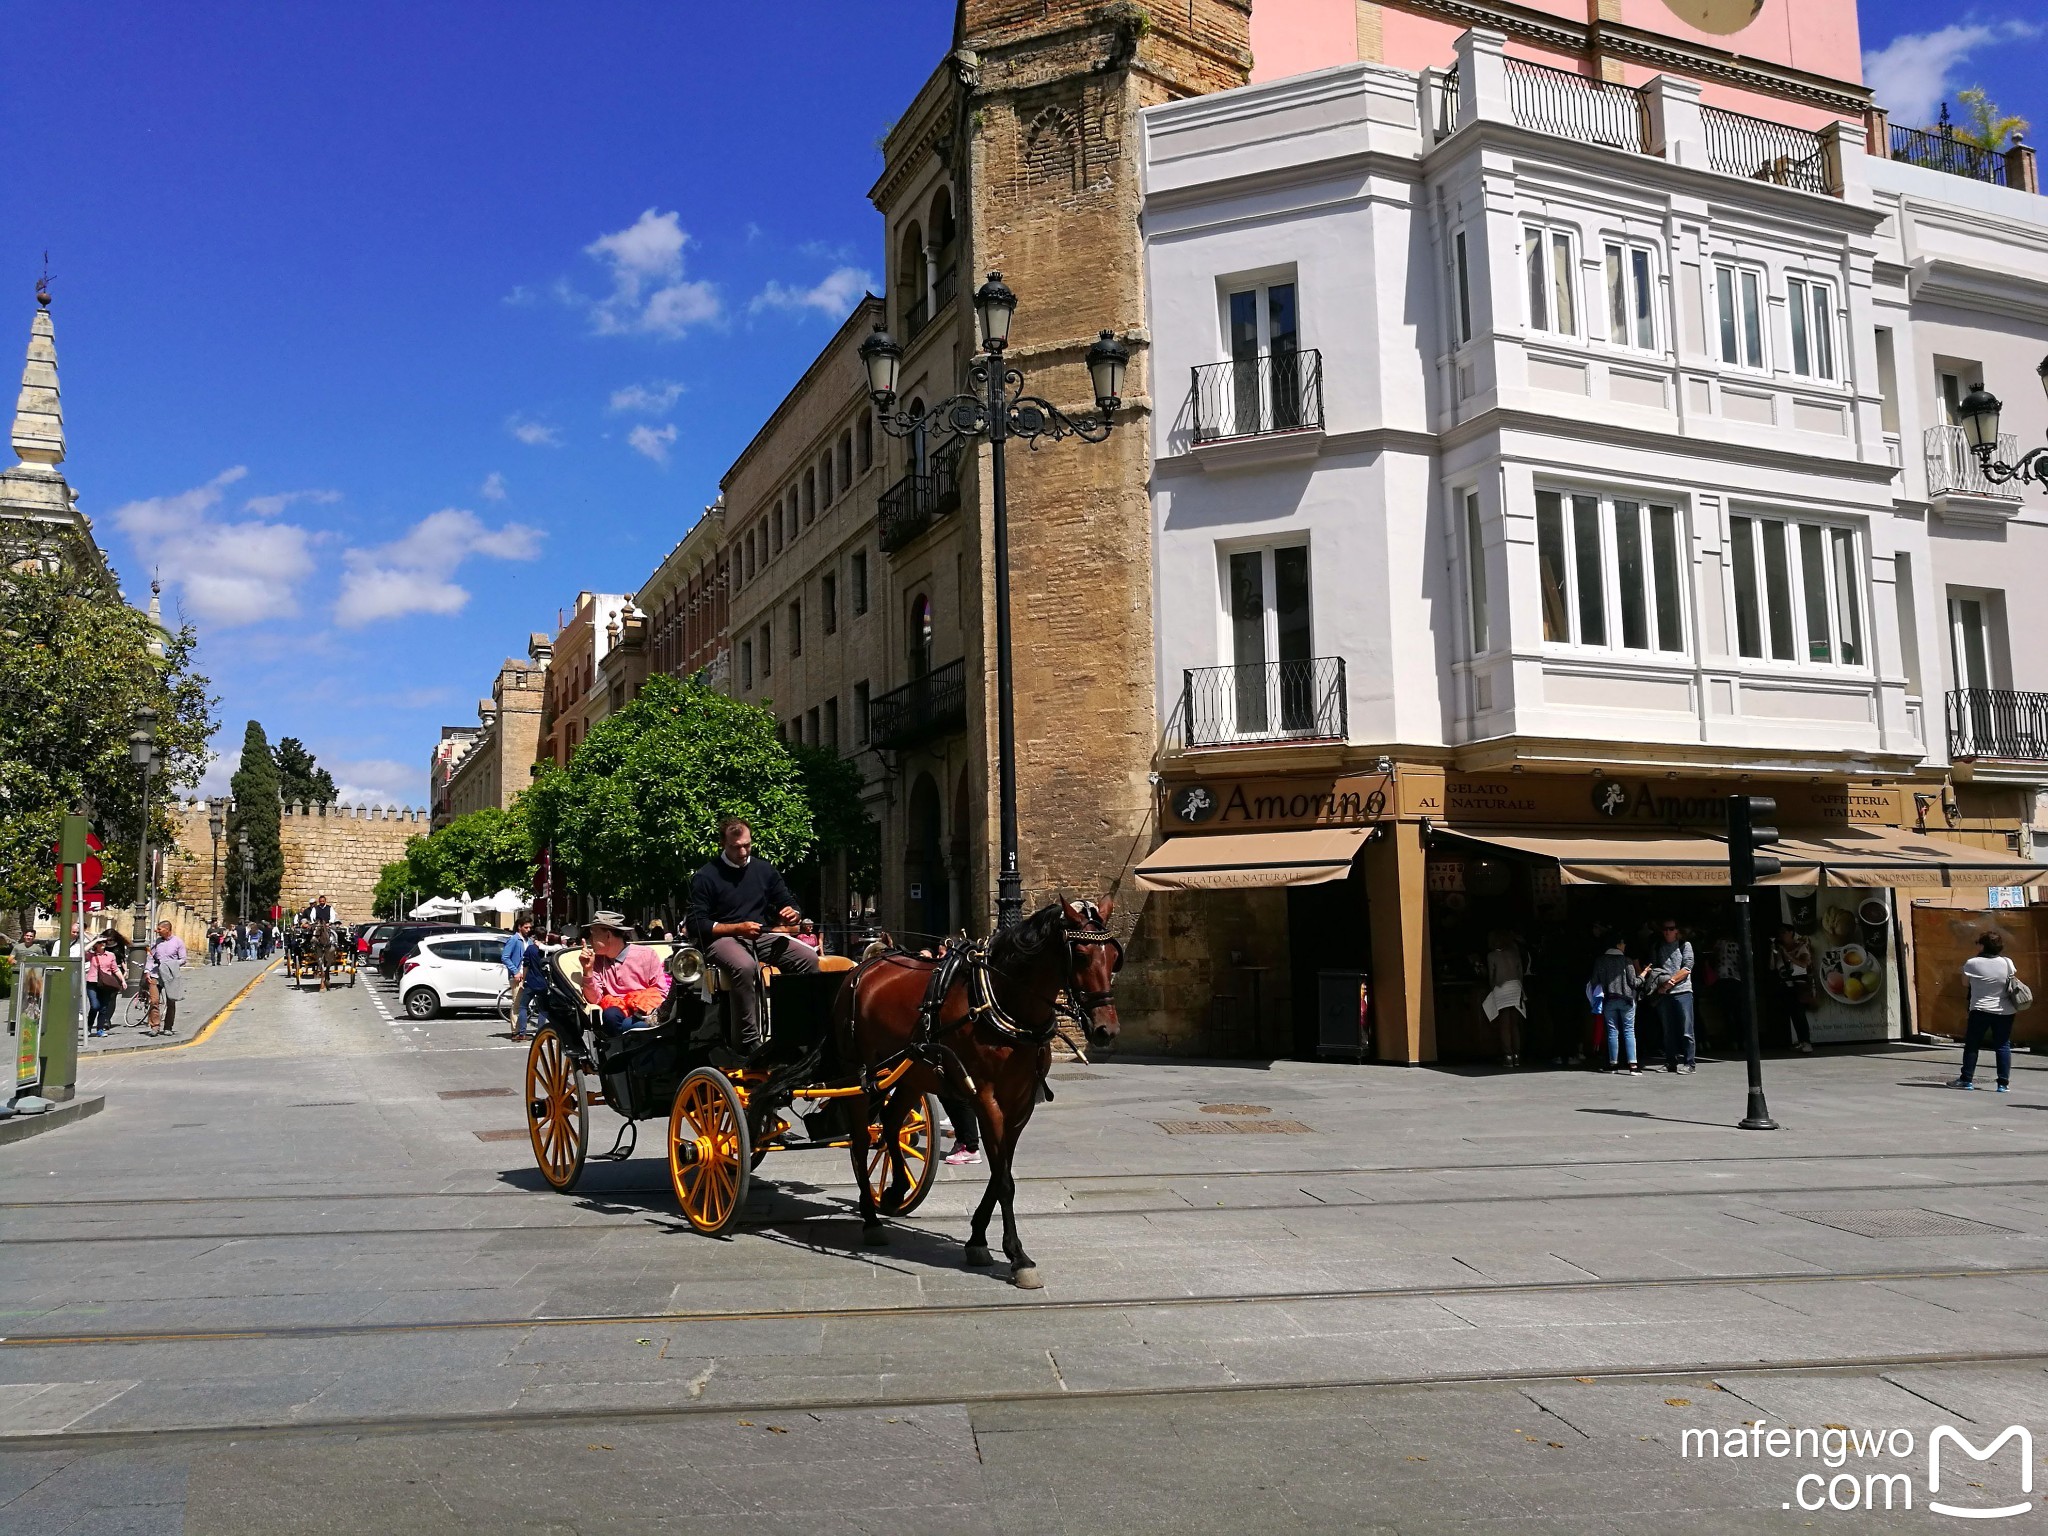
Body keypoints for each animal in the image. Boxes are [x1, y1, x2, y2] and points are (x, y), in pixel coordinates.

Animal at [831, 897, 1122, 1294]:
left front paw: (978, 1241)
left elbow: (1001, 1173)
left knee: (890, 1125)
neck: (1003, 1003)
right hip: (857, 1072)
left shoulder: (1020, 1105)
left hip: (913, 1073)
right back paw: (871, 1217)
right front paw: (1019, 1257)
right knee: (862, 1140)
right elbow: (1005, 1180)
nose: (1106, 1030)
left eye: (1113, 956)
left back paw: (895, 1189)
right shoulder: (985, 1098)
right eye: (1078, 955)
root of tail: (868, 963)